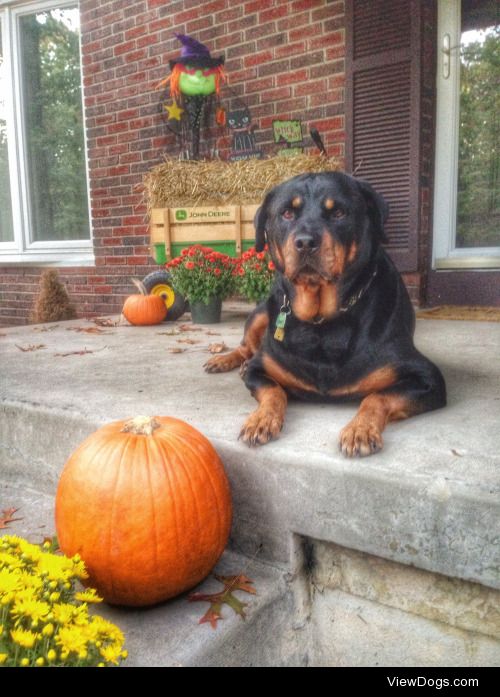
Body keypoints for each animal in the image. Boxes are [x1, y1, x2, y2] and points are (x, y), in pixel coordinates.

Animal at [203, 173, 446, 456]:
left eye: (338, 212)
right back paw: (226, 360)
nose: (306, 242)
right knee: (246, 347)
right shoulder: (259, 370)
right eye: (287, 213)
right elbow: (274, 391)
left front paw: (360, 429)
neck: (320, 322)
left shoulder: (427, 378)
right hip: (260, 314)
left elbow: (377, 396)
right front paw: (261, 419)